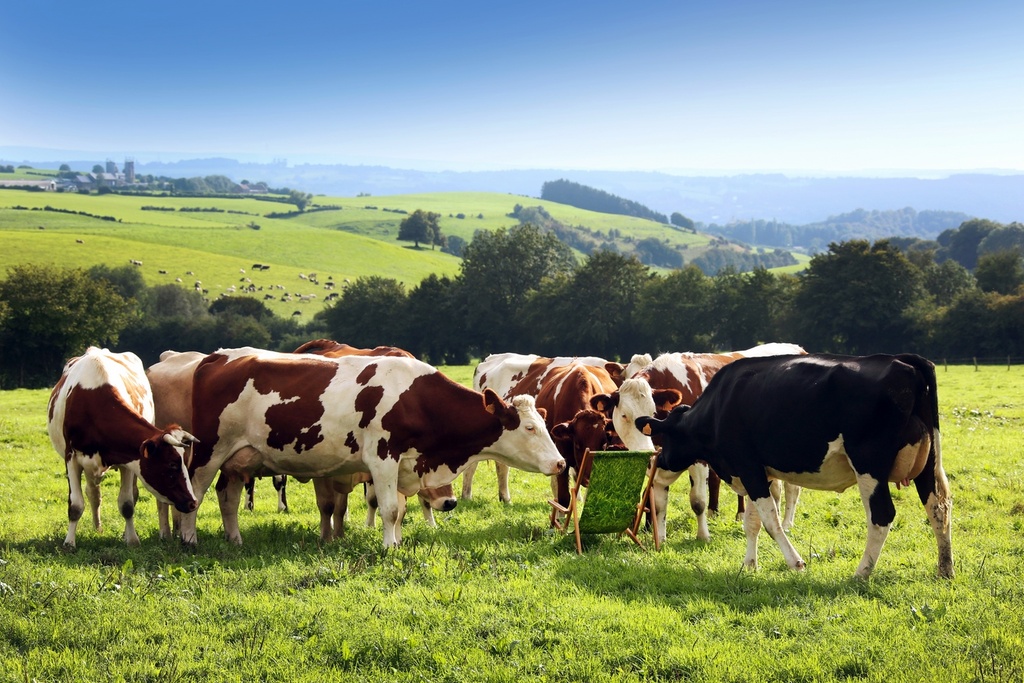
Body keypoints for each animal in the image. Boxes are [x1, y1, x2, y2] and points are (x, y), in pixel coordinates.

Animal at [47, 350, 197, 548]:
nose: (193, 503)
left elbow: (127, 504)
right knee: (93, 493)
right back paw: (97, 528)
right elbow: (76, 505)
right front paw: (69, 543)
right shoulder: (71, 458)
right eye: (171, 465)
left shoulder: (128, 461)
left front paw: (132, 539)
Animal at [185, 350, 569, 548]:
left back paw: (234, 538)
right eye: (531, 428)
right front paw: (388, 547)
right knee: (196, 493)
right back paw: (188, 539)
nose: (561, 463)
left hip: (239, 459)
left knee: (227, 496)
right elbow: (388, 509)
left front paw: (396, 541)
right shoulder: (383, 457)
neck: (417, 399)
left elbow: (399, 510)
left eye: (544, 423)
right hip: (209, 451)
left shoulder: (405, 465)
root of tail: (217, 357)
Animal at [466, 352, 614, 501]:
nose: (588, 478)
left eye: (603, 445)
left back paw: (505, 498)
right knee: (473, 465)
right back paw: (466, 496)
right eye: (577, 444)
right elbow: (563, 495)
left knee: (501, 465)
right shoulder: (562, 458)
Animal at [634, 352, 954, 581]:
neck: (717, 408)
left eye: (665, 437)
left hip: (869, 464)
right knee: (938, 507)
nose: (658, 464)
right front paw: (749, 565)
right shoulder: (755, 472)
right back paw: (945, 569)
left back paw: (861, 573)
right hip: (928, 464)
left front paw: (795, 562)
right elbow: (752, 523)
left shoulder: (748, 467)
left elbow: (770, 521)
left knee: (882, 515)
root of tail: (904, 360)